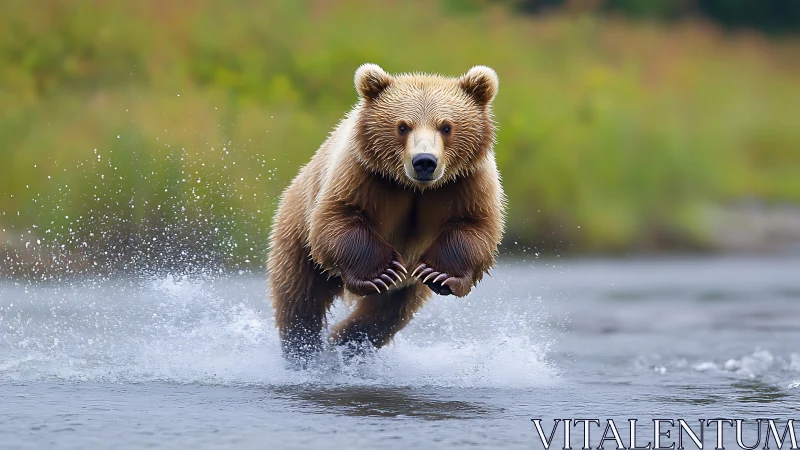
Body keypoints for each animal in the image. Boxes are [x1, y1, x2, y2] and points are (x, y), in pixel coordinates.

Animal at [267, 63, 505, 362]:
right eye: (402, 126)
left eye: (446, 126)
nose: (424, 161)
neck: (415, 187)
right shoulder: (363, 174)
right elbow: (338, 217)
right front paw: (382, 272)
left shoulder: (465, 183)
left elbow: (475, 226)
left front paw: (440, 274)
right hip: (297, 233)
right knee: (299, 298)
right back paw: (304, 350)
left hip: (408, 289)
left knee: (384, 315)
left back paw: (345, 342)